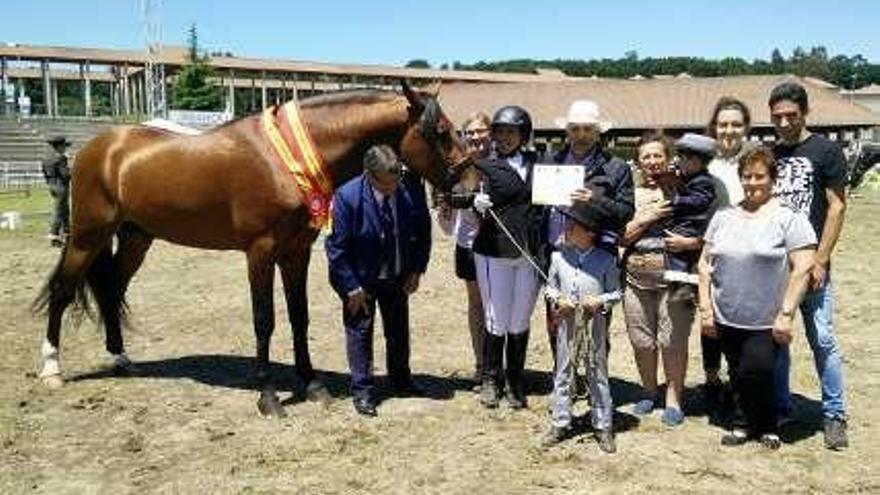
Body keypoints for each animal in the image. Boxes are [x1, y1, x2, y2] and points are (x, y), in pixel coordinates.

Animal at [32, 81, 474, 418]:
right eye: (440, 132)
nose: (470, 190)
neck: (284, 158)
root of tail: (99, 147)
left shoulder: (297, 252)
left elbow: (299, 317)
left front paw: (312, 384)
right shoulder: (260, 252)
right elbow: (265, 320)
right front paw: (268, 396)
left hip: (136, 237)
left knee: (111, 289)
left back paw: (122, 359)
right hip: (86, 236)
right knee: (62, 291)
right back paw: (52, 368)